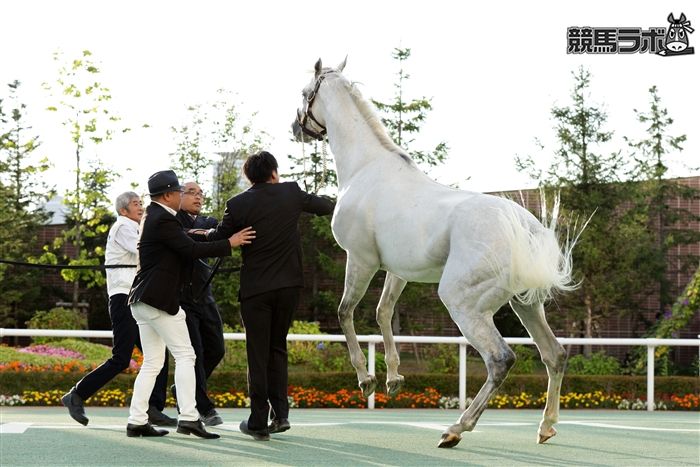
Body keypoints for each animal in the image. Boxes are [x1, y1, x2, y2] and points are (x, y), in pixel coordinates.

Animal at [292, 58, 582, 449]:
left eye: (306, 92)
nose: (296, 128)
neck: (366, 168)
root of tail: (523, 228)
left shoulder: (361, 259)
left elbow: (345, 312)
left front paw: (366, 380)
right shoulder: (398, 270)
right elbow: (384, 313)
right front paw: (393, 381)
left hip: (464, 304)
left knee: (500, 359)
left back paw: (456, 429)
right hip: (526, 304)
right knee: (554, 354)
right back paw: (545, 427)